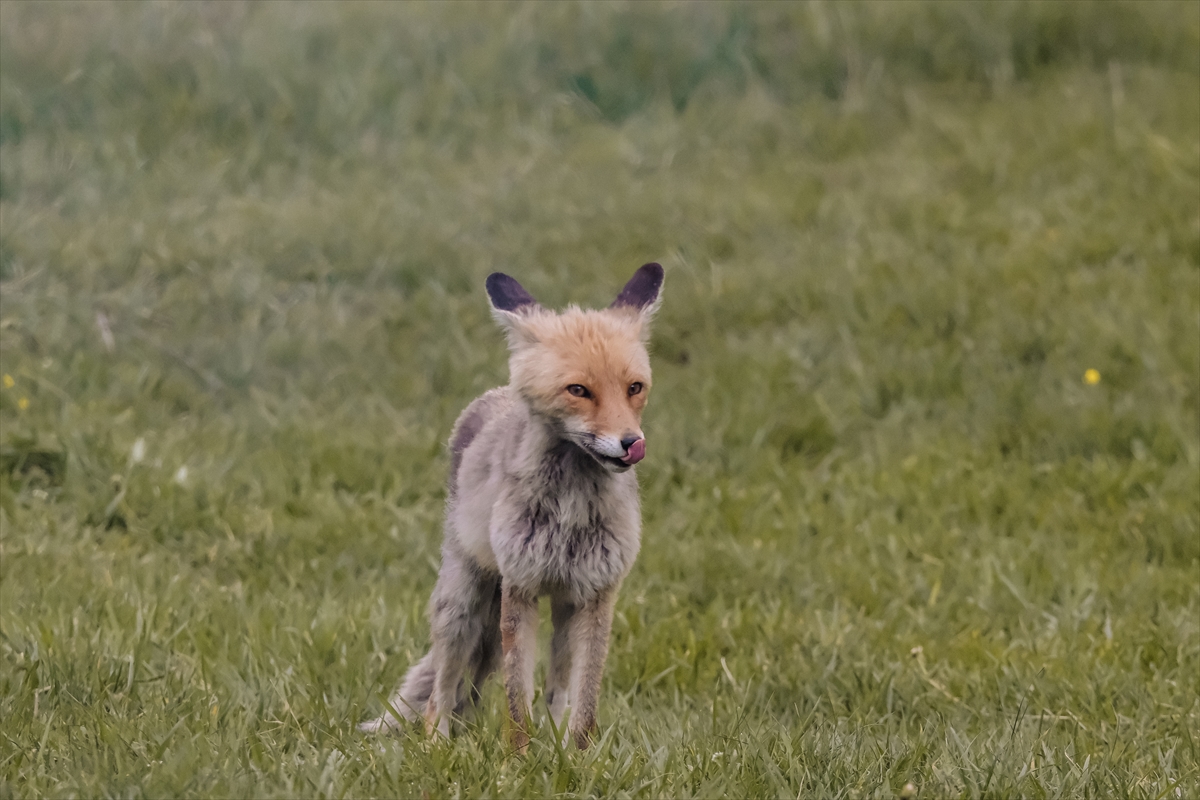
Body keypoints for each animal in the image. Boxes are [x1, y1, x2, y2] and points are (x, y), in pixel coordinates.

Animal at [360, 262, 672, 753]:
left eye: (634, 388)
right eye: (579, 390)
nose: (631, 443)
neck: (570, 512)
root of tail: (493, 395)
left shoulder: (596, 594)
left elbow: (582, 703)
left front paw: (576, 759)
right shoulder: (520, 588)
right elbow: (516, 703)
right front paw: (520, 759)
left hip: (554, 613)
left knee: (544, 691)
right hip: (464, 607)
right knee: (441, 693)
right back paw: (437, 746)